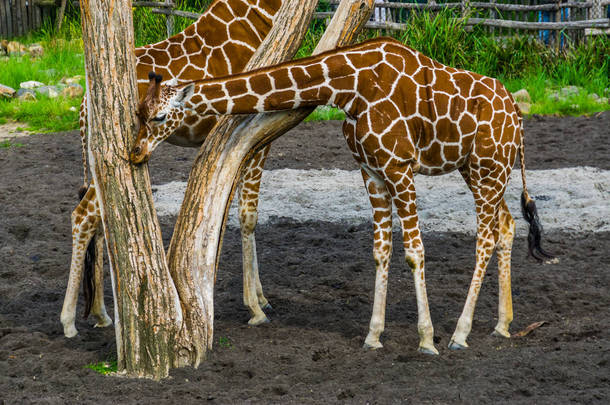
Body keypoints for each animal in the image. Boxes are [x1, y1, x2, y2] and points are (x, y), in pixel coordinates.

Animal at [131, 38, 552, 354]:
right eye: (138, 112)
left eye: (159, 117)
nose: (135, 152)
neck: (349, 86)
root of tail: (517, 114)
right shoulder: (371, 170)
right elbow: (381, 250)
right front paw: (373, 335)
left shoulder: (400, 166)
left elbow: (415, 252)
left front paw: (426, 339)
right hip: (479, 168)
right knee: (507, 225)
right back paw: (502, 323)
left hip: (488, 167)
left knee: (486, 236)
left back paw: (460, 334)